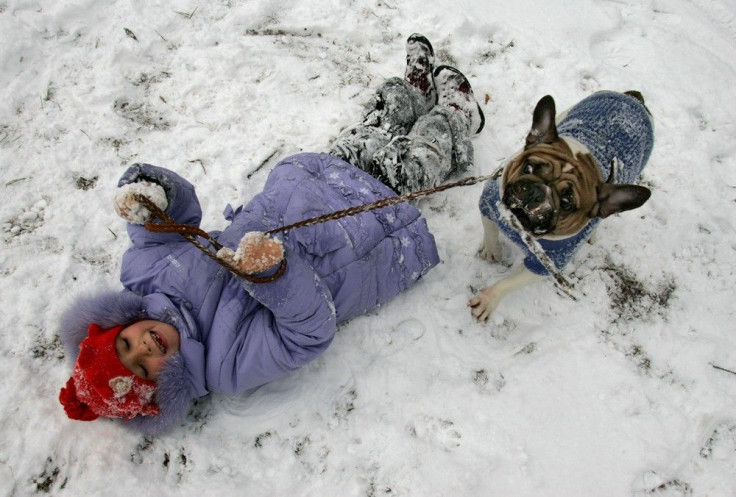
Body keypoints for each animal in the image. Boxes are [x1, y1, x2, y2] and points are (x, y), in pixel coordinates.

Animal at [468, 90, 652, 320]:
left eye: (566, 203)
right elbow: (490, 231)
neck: (520, 228)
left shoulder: (547, 263)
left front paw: (488, 300)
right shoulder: (490, 207)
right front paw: (491, 251)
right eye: (528, 167)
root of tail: (633, 98)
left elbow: (510, 282)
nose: (538, 193)